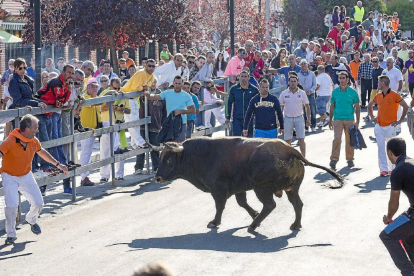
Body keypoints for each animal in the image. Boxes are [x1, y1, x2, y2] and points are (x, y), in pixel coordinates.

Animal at [149, 137, 342, 232]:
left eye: (168, 159)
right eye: (160, 157)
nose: (157, 178)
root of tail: (290, 149)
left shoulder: (218, 190)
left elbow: (219, 206)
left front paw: (215, 222)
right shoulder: (239, 188)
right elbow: (242, 203)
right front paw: (253, 213)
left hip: (262, 189)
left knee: (270, 205)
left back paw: (254, 226)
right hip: (291, 189)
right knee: (297, 204)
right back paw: (294, 225)